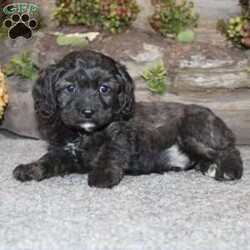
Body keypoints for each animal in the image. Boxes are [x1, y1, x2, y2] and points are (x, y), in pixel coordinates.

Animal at [12, 50, 244, 188]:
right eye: (70, 88)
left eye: (104, 88)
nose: (88, 111)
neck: (85, 133)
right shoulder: (63, 152)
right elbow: (47, 160)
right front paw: (29, 169)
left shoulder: (120, 135)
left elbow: (111, 152)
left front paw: (103, 175)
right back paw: (210, 168)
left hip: (191, 132)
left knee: (229, 151)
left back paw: (228, 171)